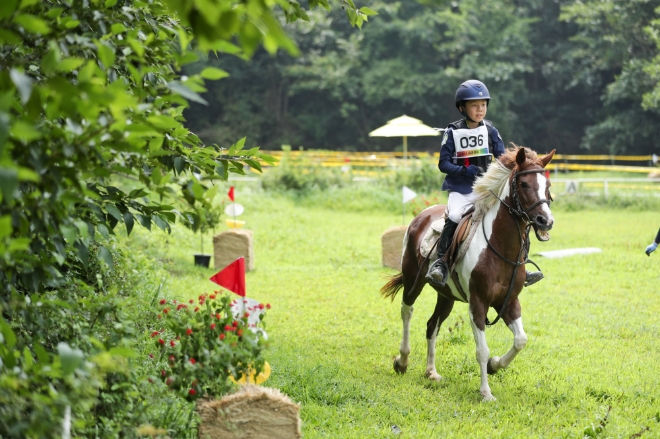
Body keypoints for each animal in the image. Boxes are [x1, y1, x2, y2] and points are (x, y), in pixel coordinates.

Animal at [378, 148, 556, 402]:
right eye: (523, 184)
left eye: (547, 184)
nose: (545, 221)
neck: (499, 247)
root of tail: (420, 216)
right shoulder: (478, 304)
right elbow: (482, 350)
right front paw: (486, 392)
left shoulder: (509, 301)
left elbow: (521, 340)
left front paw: (494, 365)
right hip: (413, 280)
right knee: (407, 311)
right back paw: (402, 361)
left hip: (446, 296)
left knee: (432, 325)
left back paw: (431, 372)